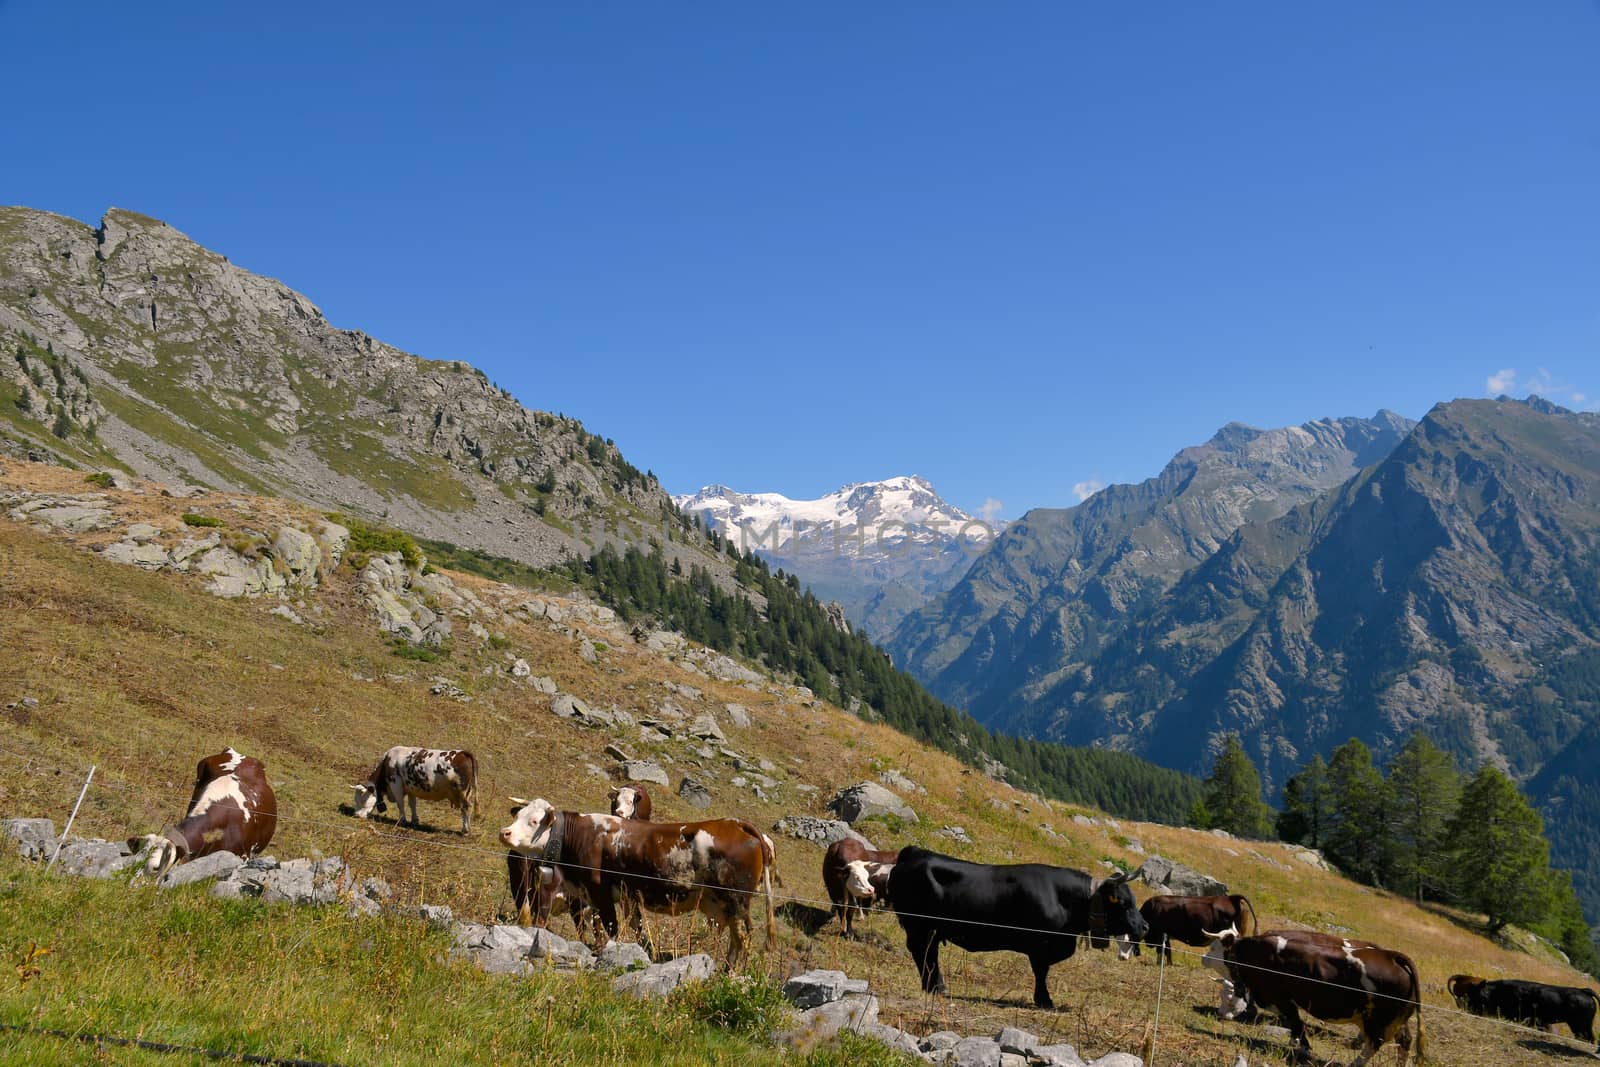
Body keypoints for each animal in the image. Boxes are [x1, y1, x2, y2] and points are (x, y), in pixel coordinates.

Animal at [499, 799, 774, 966]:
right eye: (518, 815)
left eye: (534, 821)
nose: (505, 833)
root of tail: (735, 824)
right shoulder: (626, 897)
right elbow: (636, 928)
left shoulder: (600, 894)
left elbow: (610, 928)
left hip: (735, 901)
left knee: (742, 938)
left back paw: (730, 972)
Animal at [889, 844, 1152, 1011]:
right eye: (1123, 902)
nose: (1145, 926)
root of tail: (914, 852)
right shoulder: (1040, 945)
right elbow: (1041, 972)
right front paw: (1044, 1000)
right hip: (918, 925)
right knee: (922, 953)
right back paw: (935, 987)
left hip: (930, 929)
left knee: (928, 954)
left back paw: (936, 987)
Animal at [1203, 927, 1433, 1067]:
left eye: (1215, 946)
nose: (1204, 958)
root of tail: (1391, 955)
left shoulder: (1282, 998)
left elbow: (1296, 1023)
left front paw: (1303, 1048)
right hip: (1396, 1019)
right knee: (1405, 1041)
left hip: (1377, 1019)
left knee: (1375, 1043)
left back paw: (1355, 1063)